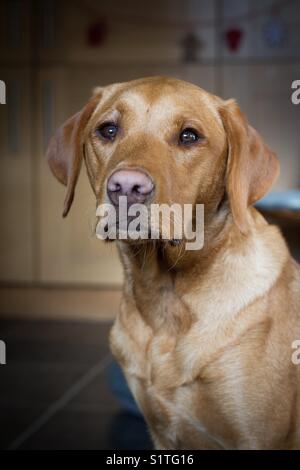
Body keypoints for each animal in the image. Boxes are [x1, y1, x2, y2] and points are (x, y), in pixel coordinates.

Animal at [47, 75, 300, 450]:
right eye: (108, 130)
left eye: (189, 136)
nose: (126, 187)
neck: (165, 298)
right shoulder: (162, 433)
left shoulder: (259, 438)